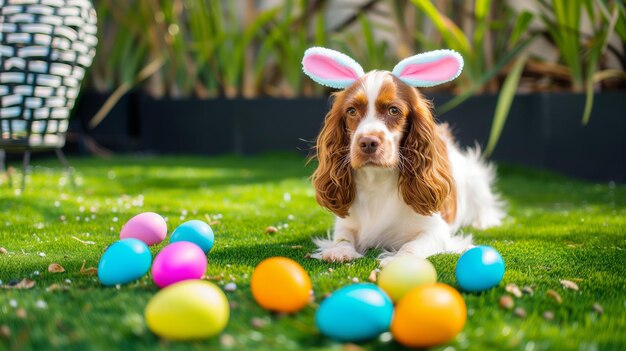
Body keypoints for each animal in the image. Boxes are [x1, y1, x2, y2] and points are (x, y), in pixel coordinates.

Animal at [302, 46, 502, 266]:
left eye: (393, 110)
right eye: (351, 111)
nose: (368, 142)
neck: (377, 181)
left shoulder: (435, 230)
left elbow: (412, 245)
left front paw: (400, 260)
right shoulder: (346, 222)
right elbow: (343, 236)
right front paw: (340, 250)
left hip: (476, 180)